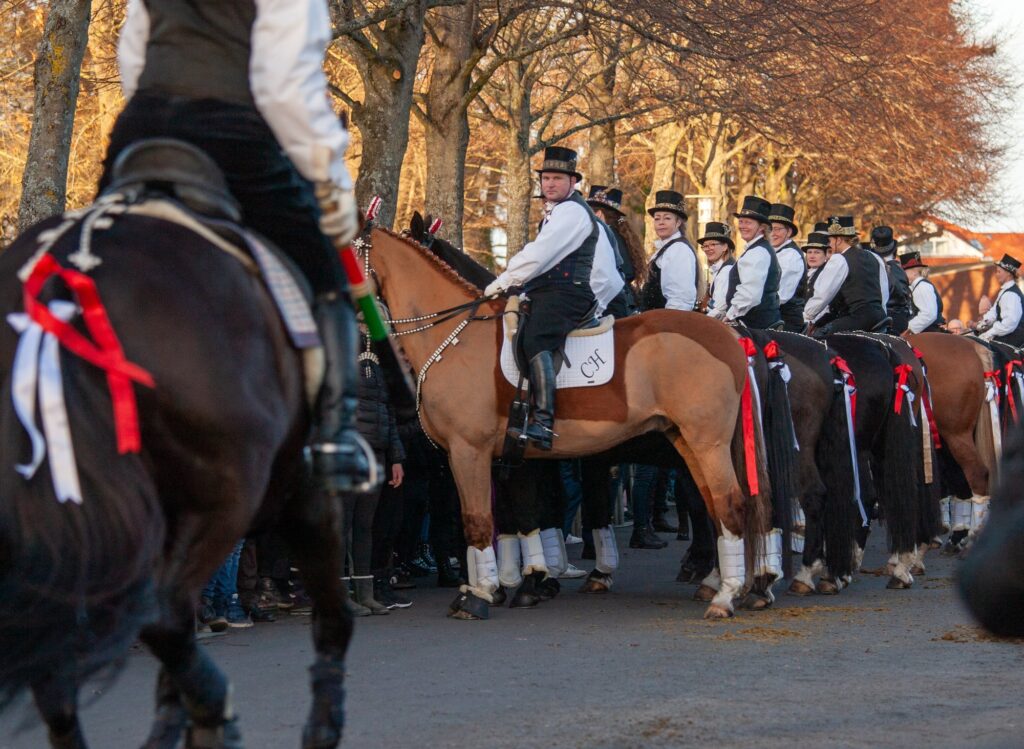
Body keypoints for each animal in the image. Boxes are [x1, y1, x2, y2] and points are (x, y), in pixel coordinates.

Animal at [364, 228, 770, 622]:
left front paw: (483, 594)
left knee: (731, 505)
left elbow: (481, 520)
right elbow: (516, 518)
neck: (458, 337)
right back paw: (725, 584)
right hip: (686, 443)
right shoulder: (506, 459)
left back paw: (729, 595)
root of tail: (729, 338)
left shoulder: (470, 451)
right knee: (714, 508)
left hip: (708, 444)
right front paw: (507, 585)